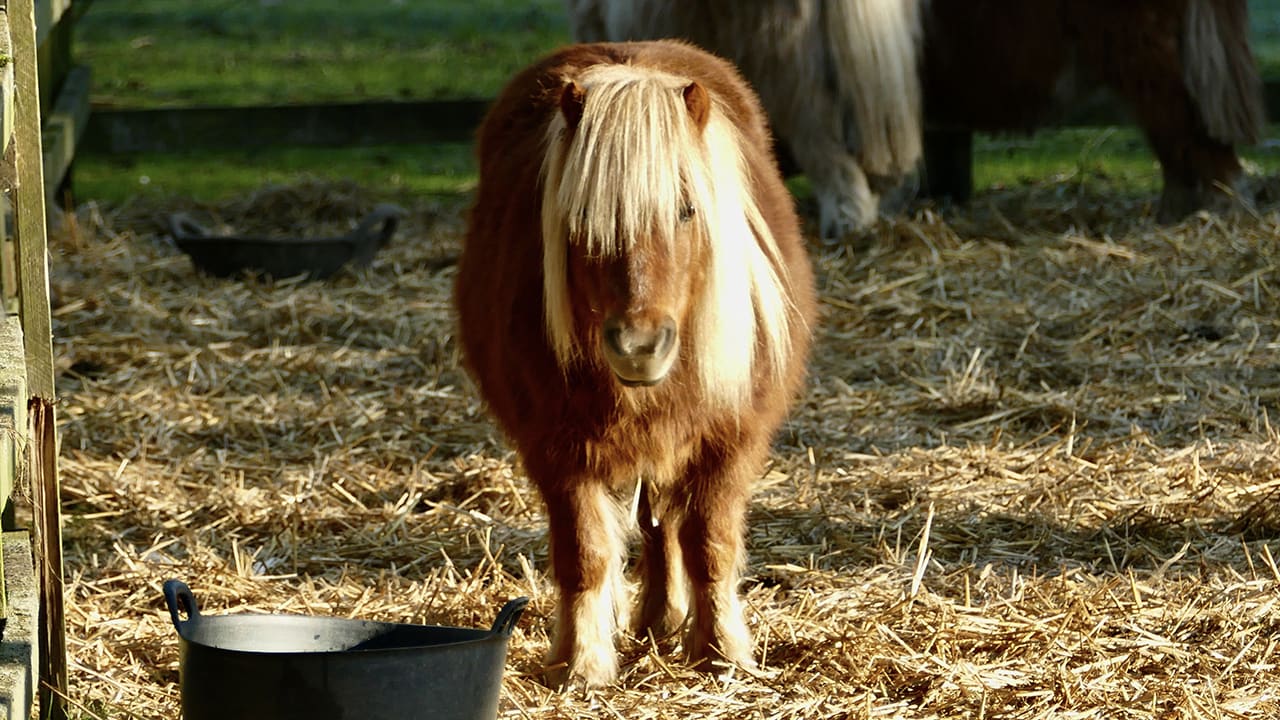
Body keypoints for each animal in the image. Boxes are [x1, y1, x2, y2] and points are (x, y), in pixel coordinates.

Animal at [454, 40, 817, 687]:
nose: (639, 346)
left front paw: (721, 653)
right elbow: (586, 554)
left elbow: (709, 543)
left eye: (688, 210)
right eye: (580, 221)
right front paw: (582, 662)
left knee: (666, 527)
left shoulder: (729, 440)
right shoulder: (556, 449)